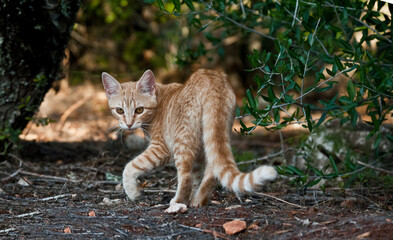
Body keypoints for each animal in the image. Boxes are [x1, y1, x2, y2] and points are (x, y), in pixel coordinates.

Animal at [102, 69, 278, 212]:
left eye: (139, 110)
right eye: (120, 110)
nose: (129, 124)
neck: (159, 101)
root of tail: (211, 78)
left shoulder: (160, 149)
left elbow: (130, 167)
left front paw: (133, 192)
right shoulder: (198, 153)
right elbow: (197, 176)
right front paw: (193, 198)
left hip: (182, 141)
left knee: (186, 176)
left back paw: (177, 202)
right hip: (214, 134)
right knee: (212, 171)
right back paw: (198, 200)